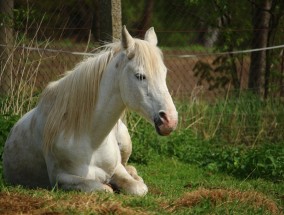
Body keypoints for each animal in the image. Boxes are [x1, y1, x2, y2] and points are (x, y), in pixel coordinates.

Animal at [2, 26, 178, 196]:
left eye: (164, 73)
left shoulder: (117, 168)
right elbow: (103, 189)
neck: (92, 140)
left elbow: (138, 188)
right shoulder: (60, 178)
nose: (170, 120)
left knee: (129, 166)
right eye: (140, 76)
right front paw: (110, 186)